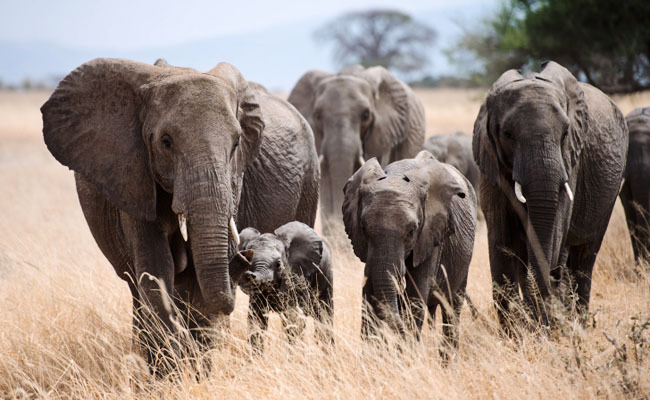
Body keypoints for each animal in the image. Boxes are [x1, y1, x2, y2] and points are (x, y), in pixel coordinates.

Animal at [41, 58, 319, 368]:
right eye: (166, 142)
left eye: (236, 143)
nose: (245, 254)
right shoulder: (133, 176)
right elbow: (155, 271)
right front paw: (172, 367)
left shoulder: (235, 181)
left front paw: (196, 366)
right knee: (138, 290)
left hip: (309, 182)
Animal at [229, 221, 333, 352]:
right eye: (249, 261)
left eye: (278, 264)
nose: (249, 275)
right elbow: (256, 320)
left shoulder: (297, 277)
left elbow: (294, 319)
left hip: (326, 276)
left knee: (324, 317)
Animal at [342, 151, 477, 350]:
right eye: (363, 228)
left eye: (412, 231)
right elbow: (369, 294)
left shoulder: (431, 235)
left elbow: (415, 296)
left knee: (452, 308)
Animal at [473, 61, 628, 330]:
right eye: (507, 134)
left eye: (565, 133)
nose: (554, 274)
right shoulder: (490, 164)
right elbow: (501, 240)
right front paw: (515, 333)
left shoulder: (570, 162)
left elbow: (554, 229)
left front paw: (538, 327)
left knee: (585, 256)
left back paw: (578, 323)